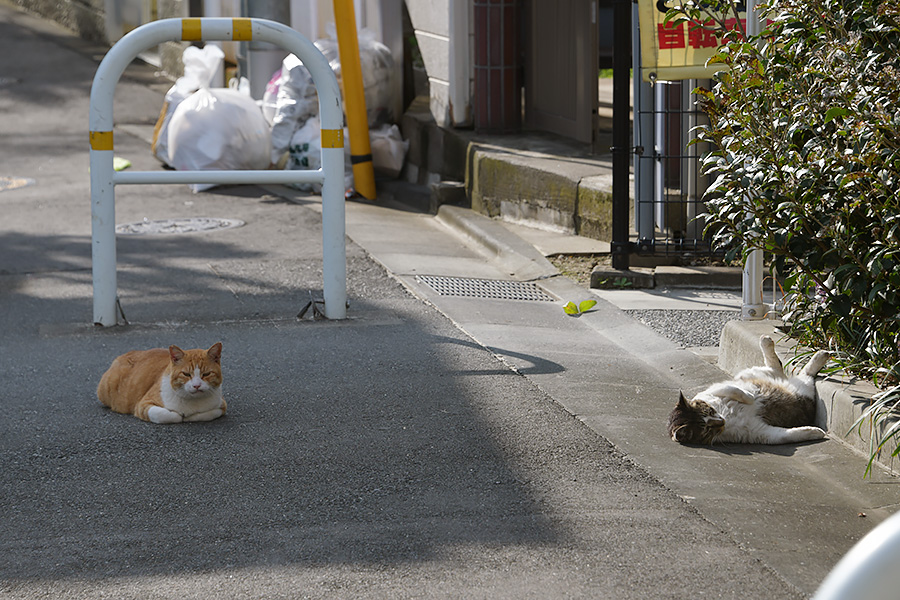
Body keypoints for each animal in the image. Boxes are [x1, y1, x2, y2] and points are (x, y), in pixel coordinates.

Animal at [96, 342, 225, 422]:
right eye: (186, 374)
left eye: (206, 374)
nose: (196, 385)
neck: (192, 401)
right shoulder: (143, 405)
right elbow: (169, 415)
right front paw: (180, 416)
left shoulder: (222, 406)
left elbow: (205, 414)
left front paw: (190, 417)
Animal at [668, 332, 828, 446]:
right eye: (708, 428)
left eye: (710, 411)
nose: (722, 421)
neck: (726, 415)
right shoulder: (757, 432)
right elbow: (788, 435)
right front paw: (816, 432)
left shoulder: (709, 390)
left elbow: (732, 389)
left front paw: (750, 397)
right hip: (803, 390)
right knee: (803, 373)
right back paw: (821, 355)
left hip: (752, 373)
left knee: (776, 366)